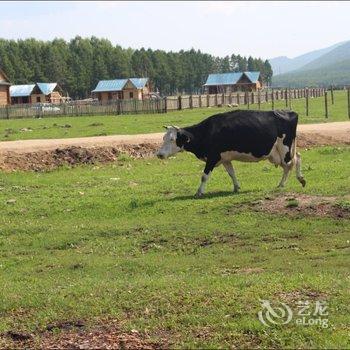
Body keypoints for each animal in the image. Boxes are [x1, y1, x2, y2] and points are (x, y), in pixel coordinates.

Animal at [157, 109, 306, 197]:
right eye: (163, 138)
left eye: (172, 139)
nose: (159, 154)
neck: (206, 132)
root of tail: (289, 112)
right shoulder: (225, 158)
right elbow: (231, 173)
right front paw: (236, 187)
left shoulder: (212, 157)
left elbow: (204, 176)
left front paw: (199, 192)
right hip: (286, 150)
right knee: (297, 157)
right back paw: (297, 180)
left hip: (284, 149)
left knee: (290, 164)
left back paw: (285, 183)